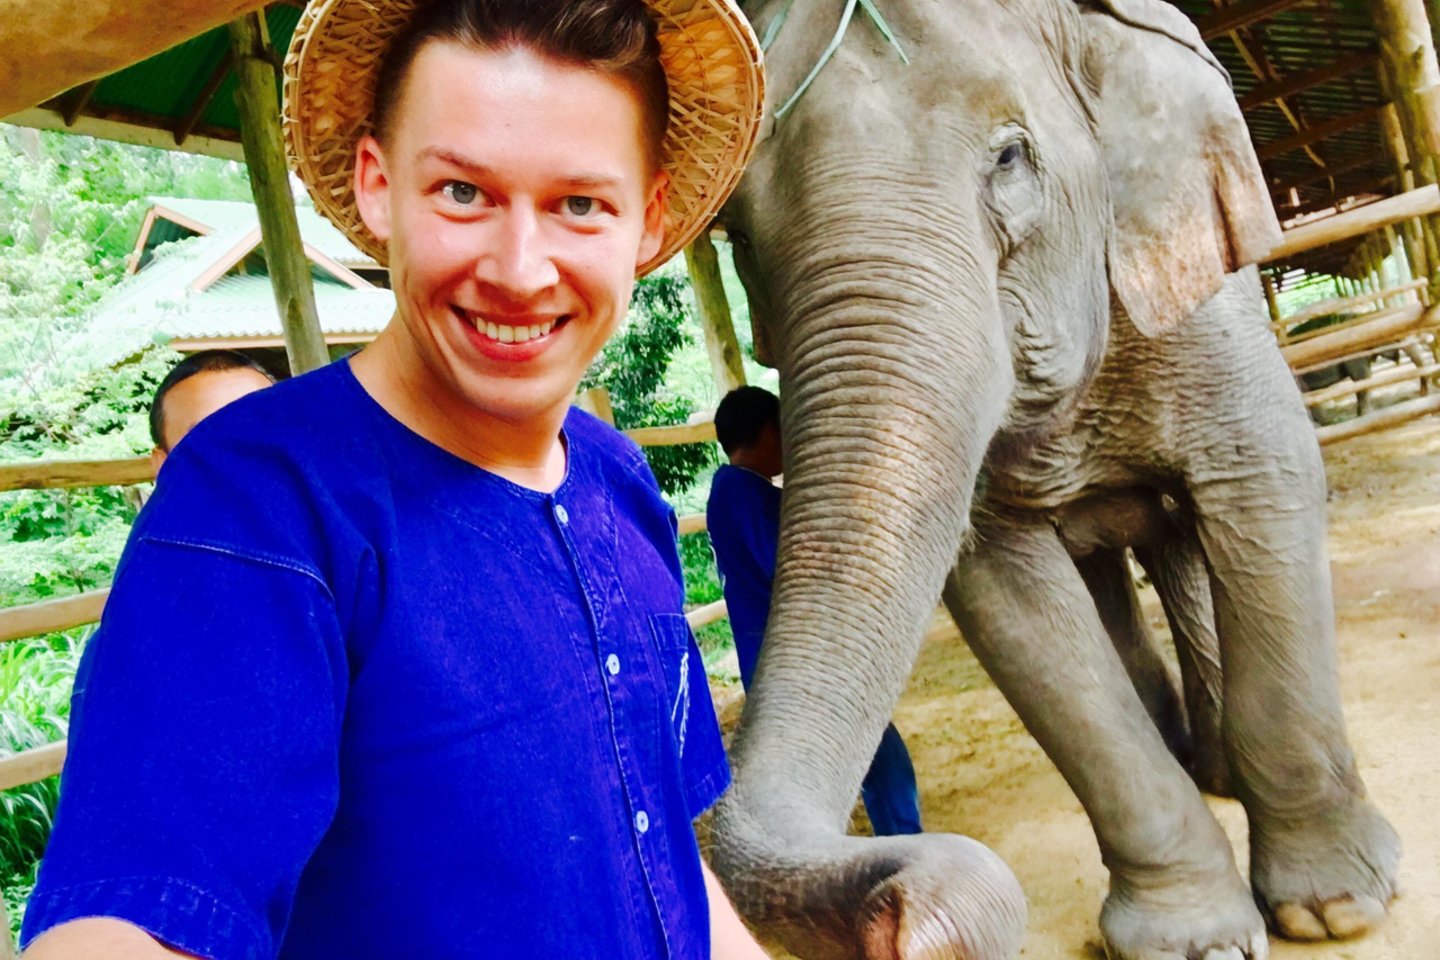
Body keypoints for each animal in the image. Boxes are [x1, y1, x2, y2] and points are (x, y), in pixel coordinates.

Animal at [706, 1, 1402, 958]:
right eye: (736, 234)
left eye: (1009, 158)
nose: (906, 914)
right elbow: (1010, 600)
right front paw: (1194, 939)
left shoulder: (1199, 298)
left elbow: (1268, 476)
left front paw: (1336, 908)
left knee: (1186, 539)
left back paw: (1222, 769)